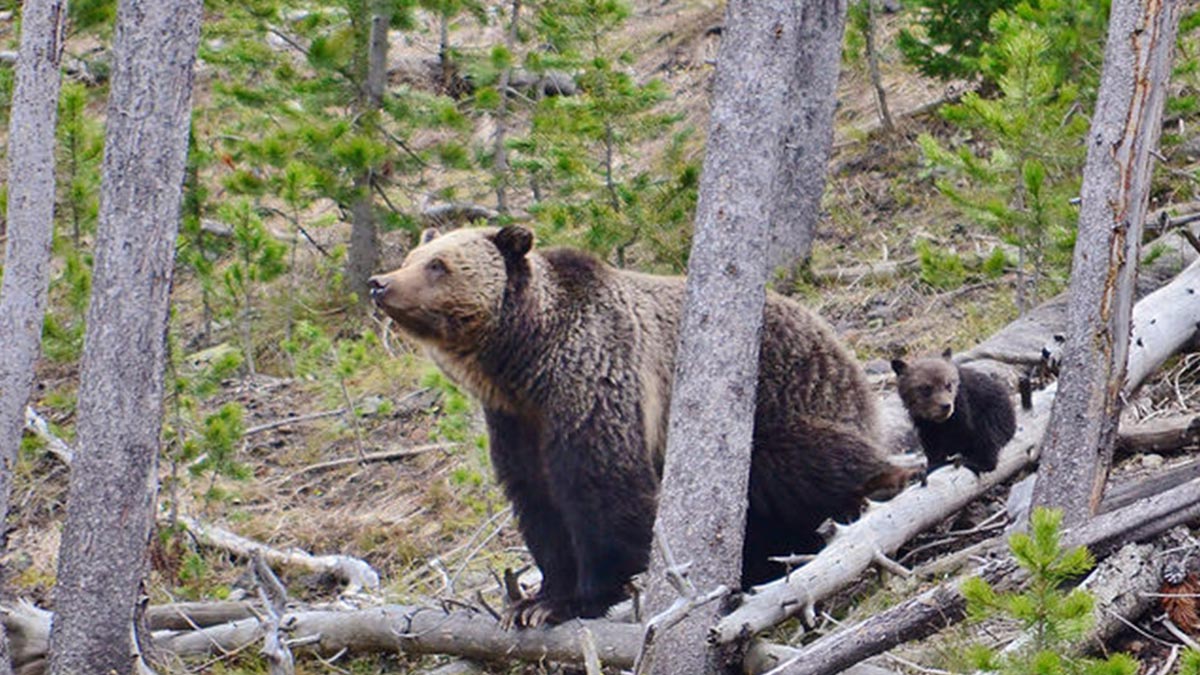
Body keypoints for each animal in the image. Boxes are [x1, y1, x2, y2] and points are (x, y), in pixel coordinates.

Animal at [368, 225, 910, 628]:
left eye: (438, 264)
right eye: (415, 255)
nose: (380, 281)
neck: (524, 363)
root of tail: (843, 354)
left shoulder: (596, 380)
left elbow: (602, 486)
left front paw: (579, 599)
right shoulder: (516, 423)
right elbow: (538, 502)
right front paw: (533, 601)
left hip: (787, 400)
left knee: (798, 462)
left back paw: (879, 488)